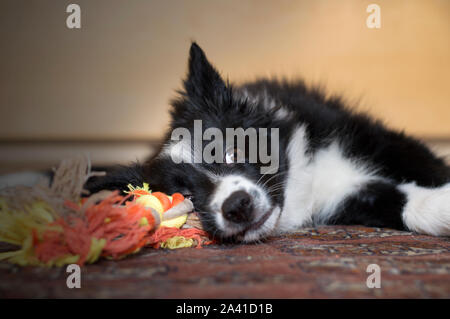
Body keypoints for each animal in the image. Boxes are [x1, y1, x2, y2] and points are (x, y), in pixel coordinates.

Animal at [85, 42, 450, 242]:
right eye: (185, 195)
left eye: (233, 150)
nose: (237, 206)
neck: (303, 178)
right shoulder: (344, 200)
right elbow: (397, 202)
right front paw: (440, 208)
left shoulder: (372, 137)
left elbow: (426, 162)